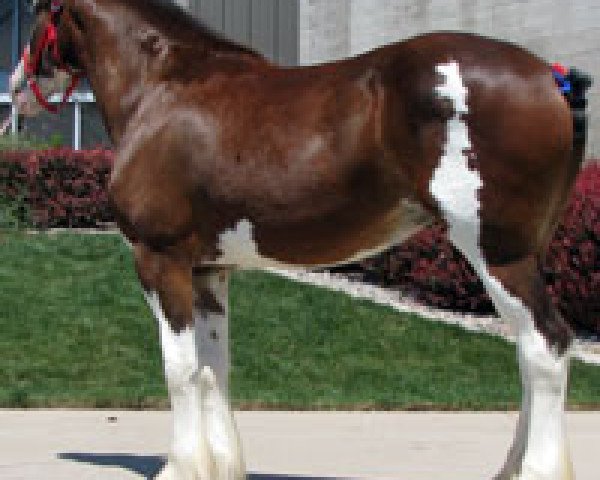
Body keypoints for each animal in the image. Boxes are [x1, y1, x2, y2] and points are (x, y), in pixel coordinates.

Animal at [9, 0, 592, 480]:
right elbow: (213, 366)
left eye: (35, 10)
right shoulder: (208, 271)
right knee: (529, 353)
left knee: (546, 346)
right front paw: (223, 466)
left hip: (498, 253)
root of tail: (551, 76)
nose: (15, 88)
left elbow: (179, 368)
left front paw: (179, 468)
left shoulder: (159, 259)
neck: (162, 91)